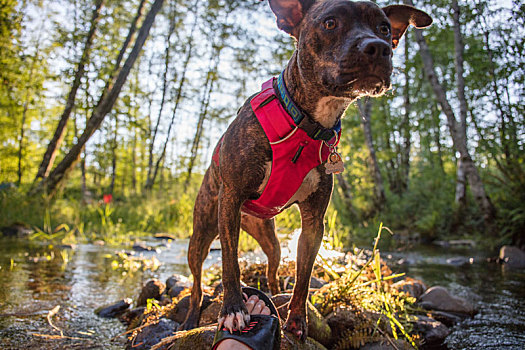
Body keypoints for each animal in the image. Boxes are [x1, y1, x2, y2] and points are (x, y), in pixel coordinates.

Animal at [180, 0, 430, 340]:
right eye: (330, 23)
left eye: (384, 29)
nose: (378, 48)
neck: (308, 122)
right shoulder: (230, 200)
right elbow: (231, 263)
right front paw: (233, 309)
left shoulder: (313, 222)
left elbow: (304, 276)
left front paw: (298, 321)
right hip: (203, 232)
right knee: (195, 282)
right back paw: (192, 317)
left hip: (269, 239)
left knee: (272, 267)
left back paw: (272, 296)